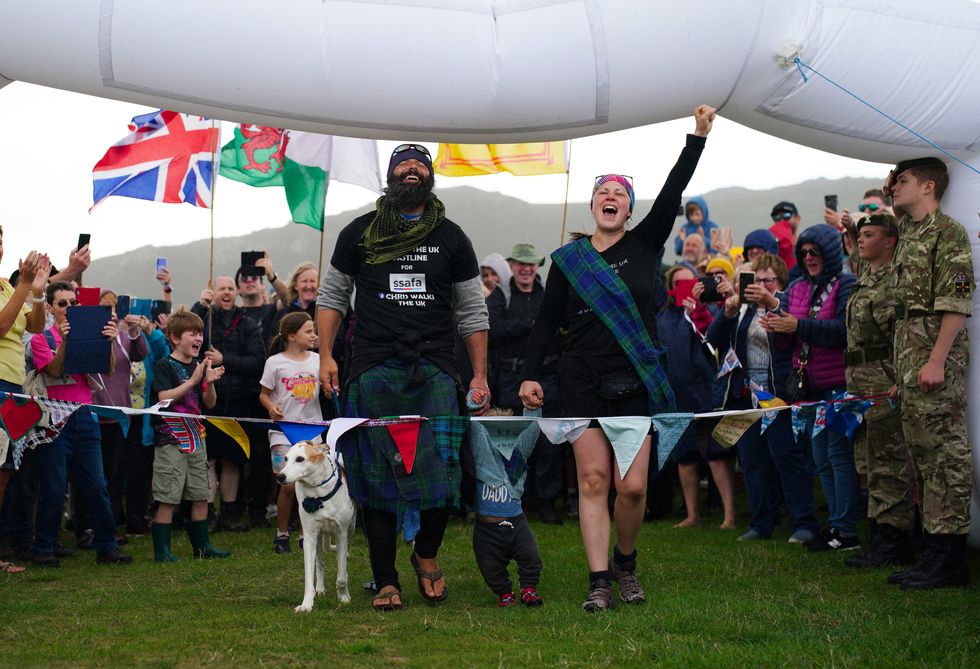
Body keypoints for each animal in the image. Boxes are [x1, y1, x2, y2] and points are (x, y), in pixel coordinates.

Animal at [276, 438, 356, 612]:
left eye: (300, 459)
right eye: (285, 458)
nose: (280, 476)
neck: (318, 494)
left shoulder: (342, 534)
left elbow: (341, 574)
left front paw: (344, 597)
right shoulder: (309, 537)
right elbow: (309, 575)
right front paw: (306, 604)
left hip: (351, 528)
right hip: (318, 537)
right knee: (320, 562)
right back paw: (320, 587)